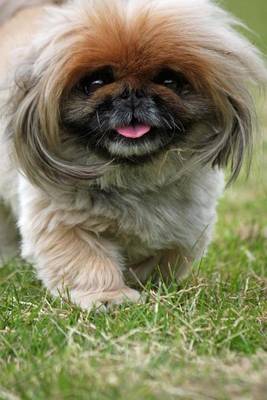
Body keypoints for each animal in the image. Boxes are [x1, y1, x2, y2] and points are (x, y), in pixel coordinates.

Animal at [0, 0, 266, 310]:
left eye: (169, 80)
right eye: (96, 82)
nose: (132, 94)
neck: (133, 177)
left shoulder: (185, 229)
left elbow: (160, 256)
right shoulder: (62, 222)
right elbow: (88, 262)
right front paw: (109, 297)